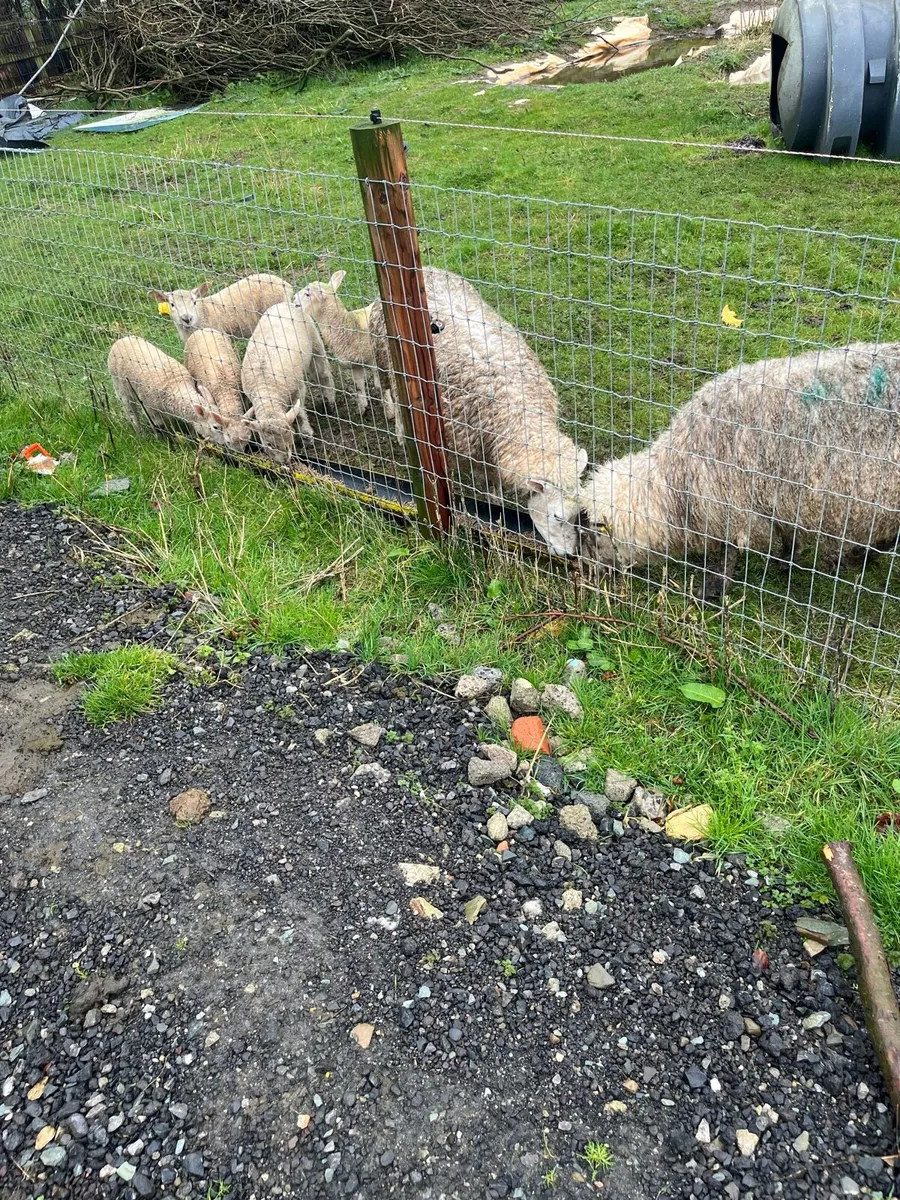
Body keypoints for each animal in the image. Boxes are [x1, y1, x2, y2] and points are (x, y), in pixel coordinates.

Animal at [239, 300, 336, 463]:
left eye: (289, 435)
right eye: (269, 444)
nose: (285, 460)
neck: (267, 390)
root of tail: (285, 303)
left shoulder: (299, 388)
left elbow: (301, 412)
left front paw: (306, 435)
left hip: (315, 342)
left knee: (323, 375)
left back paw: (330, 402)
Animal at [294, 270, 396, 431]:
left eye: (308, 294)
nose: (293, 299)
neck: (349, 326)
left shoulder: (375, 361)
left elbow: (380, 387)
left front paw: (389, 412)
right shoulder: (355, 365)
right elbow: (359, 386)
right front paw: (362, 409)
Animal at [367, 266, 588, 555]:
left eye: (579, 513)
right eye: (556, 516)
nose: (569, 553)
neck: (517, 412)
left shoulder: (489, 454)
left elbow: (494, 487)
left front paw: (496, 506)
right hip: (383, 359)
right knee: (385, 389)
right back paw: (396, 421)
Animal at [564, 341, 900, 596]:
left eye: (587, 536)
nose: (579, 568)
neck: (675, 481)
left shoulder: (732, 503)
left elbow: (729, 551)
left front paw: (711, 590)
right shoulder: (775, 496)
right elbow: (786, 531)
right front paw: (786, 559)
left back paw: (860, 557)